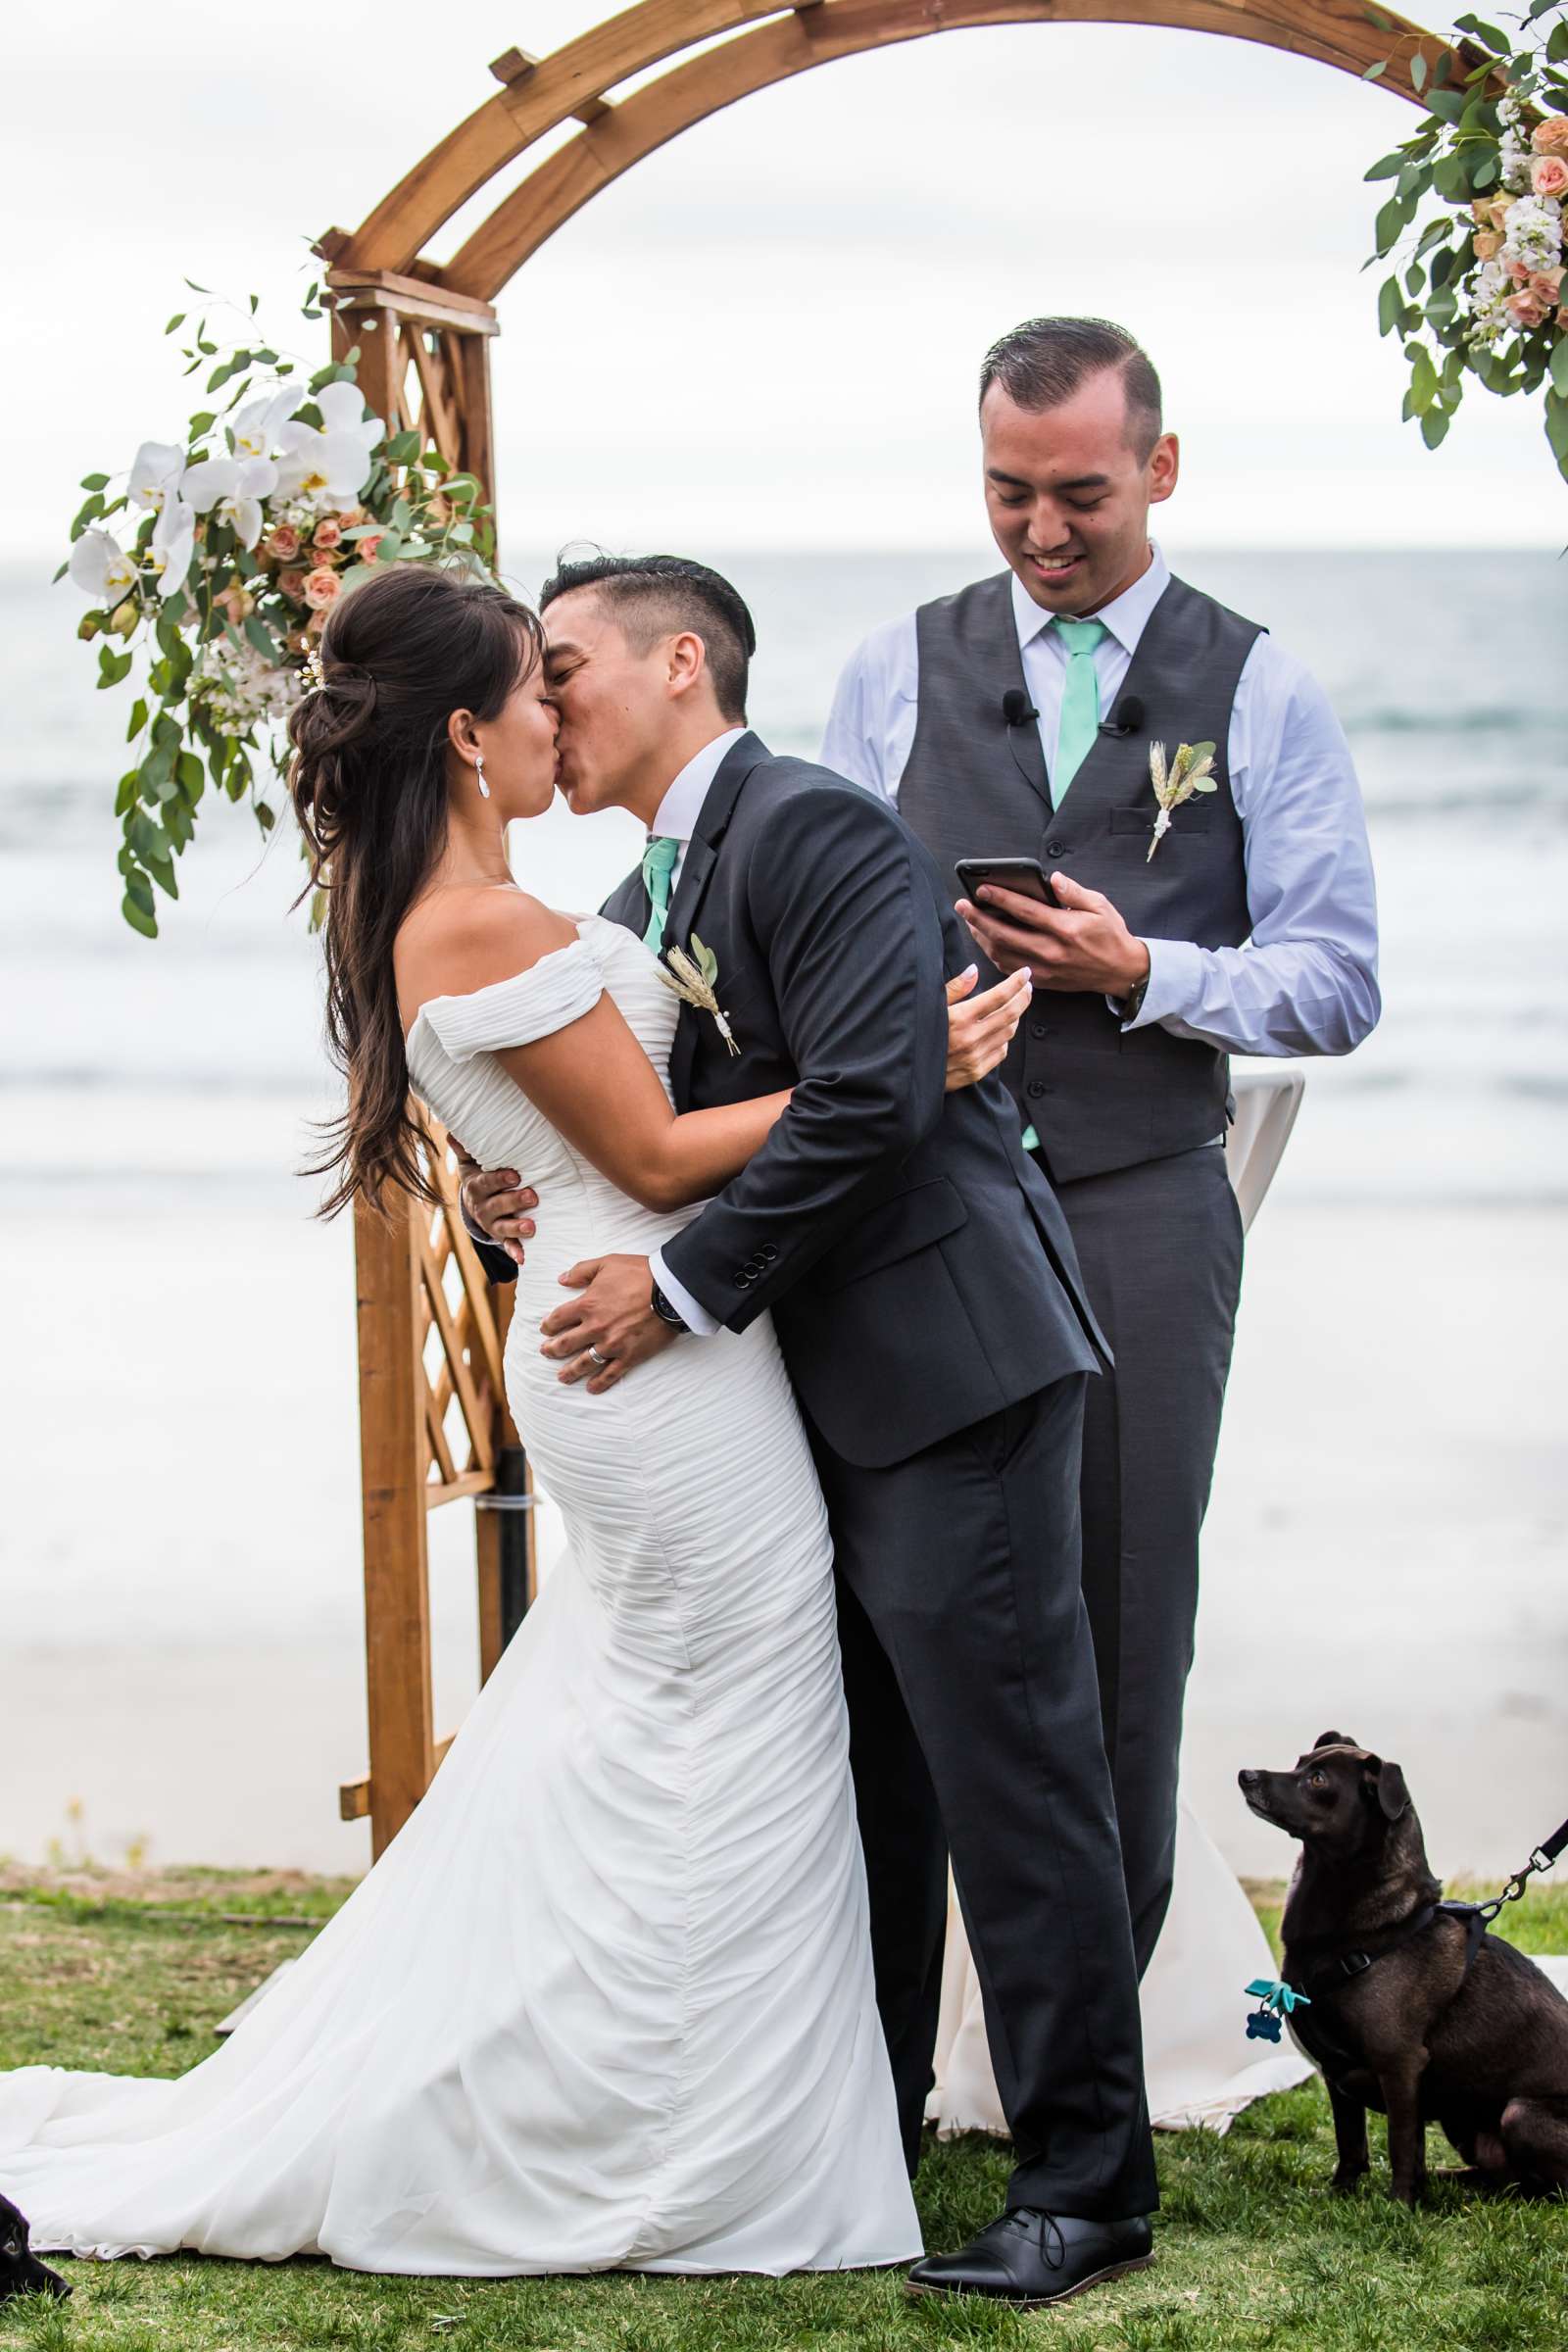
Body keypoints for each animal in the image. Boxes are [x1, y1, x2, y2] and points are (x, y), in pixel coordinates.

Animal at [1241, 1731, 1568, 2201]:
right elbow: (1352, 2142)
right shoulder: (1338, 2075)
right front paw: (1341, 2193)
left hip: (1519, 2114)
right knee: (1502, 2177)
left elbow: (1400, 2144)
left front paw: (1399, 2205)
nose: (1245, 1775)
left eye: (1317, 1779)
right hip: (1461, 2122)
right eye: (1299, 1762)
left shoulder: (1400, 2064)